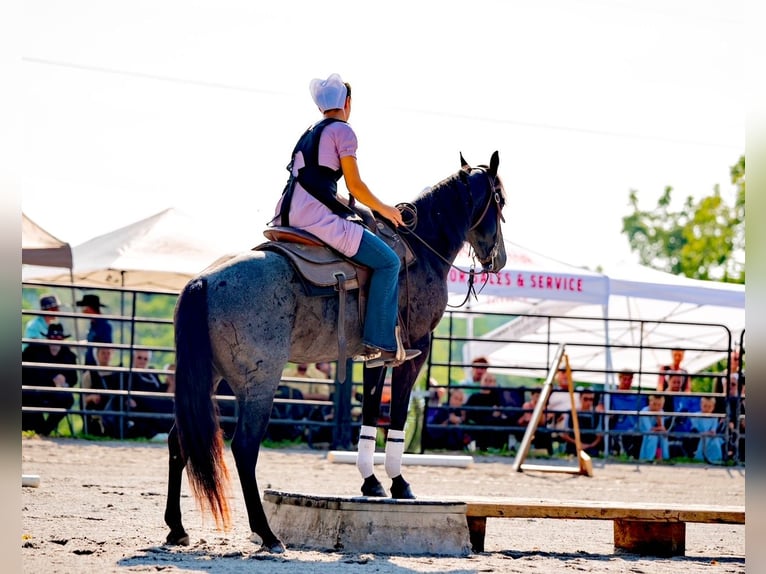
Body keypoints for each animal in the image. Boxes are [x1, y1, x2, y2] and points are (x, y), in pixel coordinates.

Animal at [163, 151, 510, 556]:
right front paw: (399, 484)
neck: (421, 247)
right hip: (260, 383)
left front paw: (371, 483)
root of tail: (202, 281)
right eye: (500, 200)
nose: (499, 259)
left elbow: (372, 412)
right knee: (245, 447)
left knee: (179, 441)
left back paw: (176, 528)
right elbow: (397, 415)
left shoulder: (377, 356)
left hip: (208, 378)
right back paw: (267, 534)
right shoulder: (416, 350)